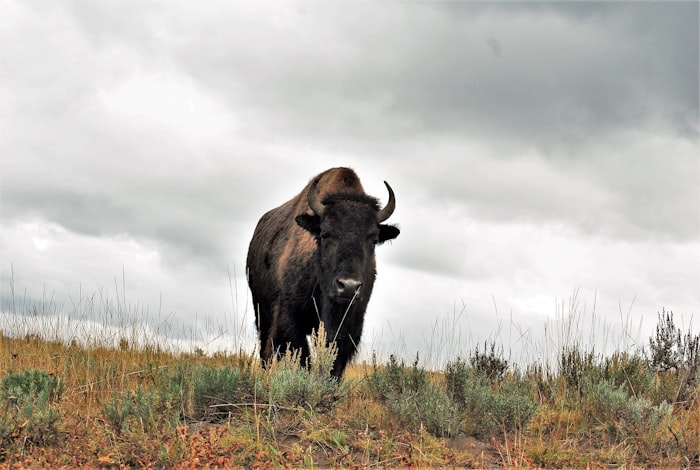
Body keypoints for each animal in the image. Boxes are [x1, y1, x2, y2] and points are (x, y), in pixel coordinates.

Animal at [246, 167, 399, 378]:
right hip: (261, 311)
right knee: (266, 351)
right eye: (325, 233)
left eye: (373, 239)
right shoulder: (290, 320)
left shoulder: (349, 326)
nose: (348, 287)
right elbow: (302, 359)